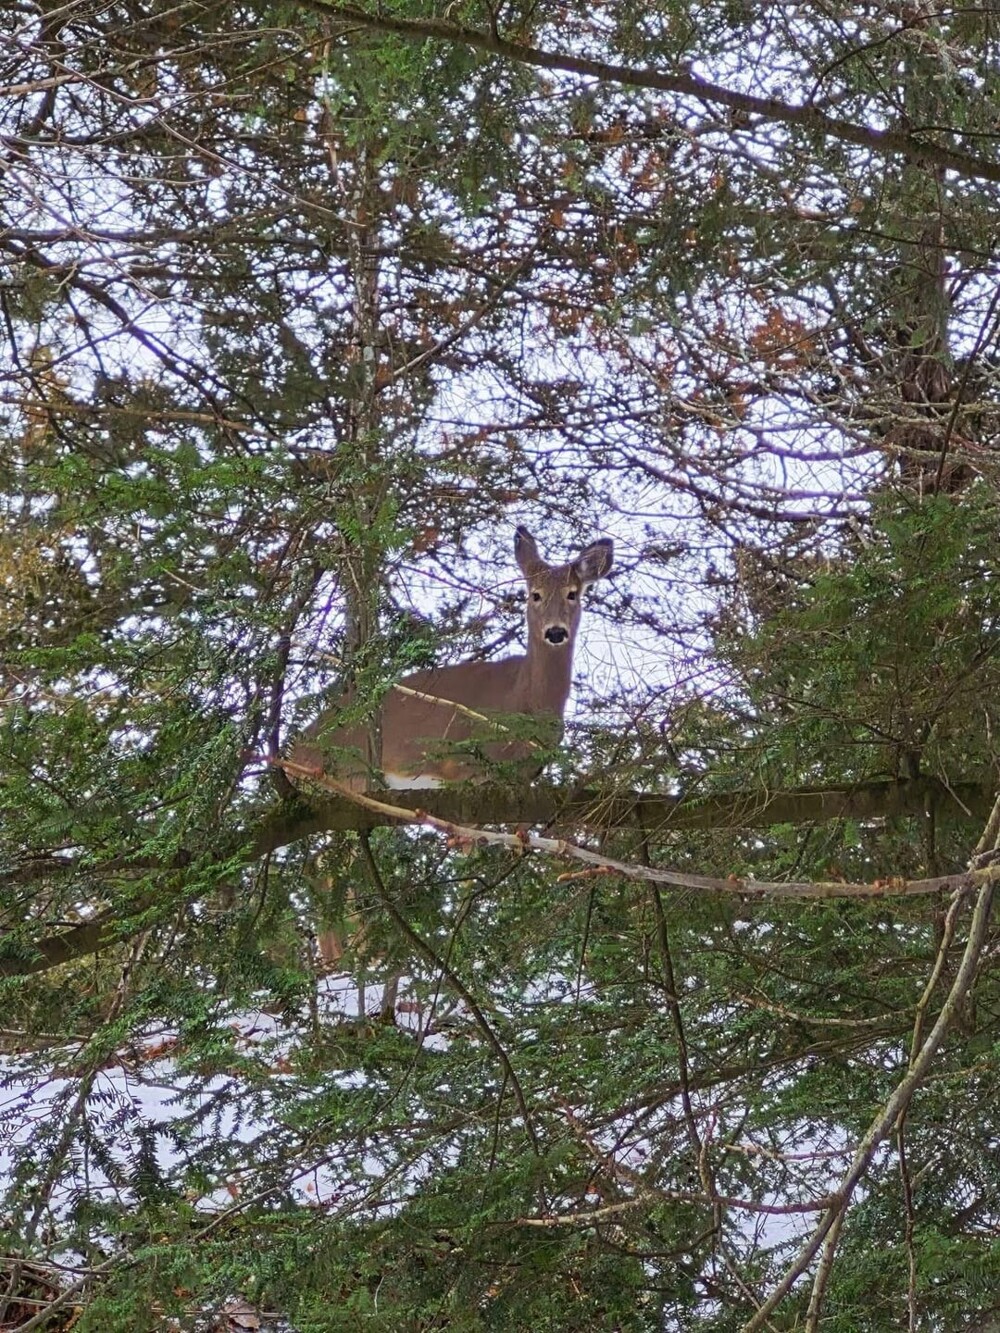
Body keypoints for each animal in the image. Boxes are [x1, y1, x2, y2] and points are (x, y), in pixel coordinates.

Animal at [292, 526, 615, 792]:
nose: (556, 631)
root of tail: (298, 748)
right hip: (351, 774)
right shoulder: (463, 767)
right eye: (535, 595)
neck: (526, 702)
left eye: (572, 594)